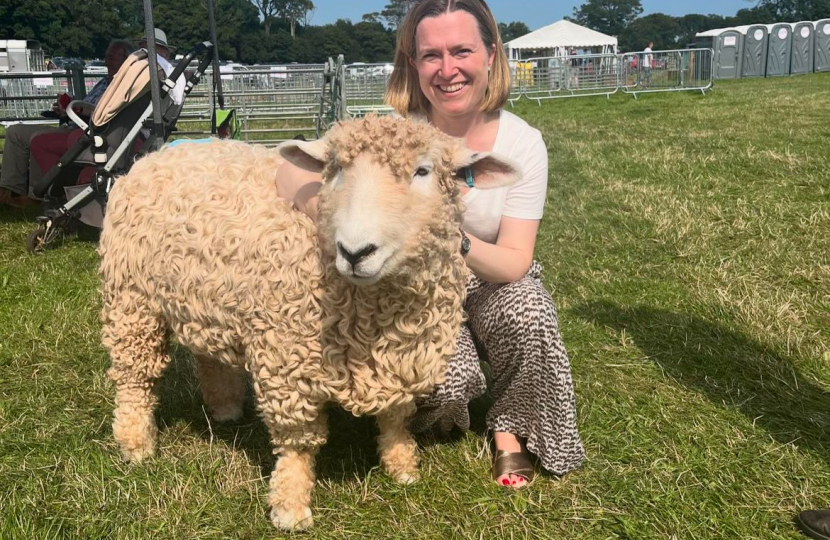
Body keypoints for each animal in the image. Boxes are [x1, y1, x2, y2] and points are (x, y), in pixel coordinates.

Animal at [99, 115, 520, 532]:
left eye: (423, 170)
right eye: (336, 170)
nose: (355, 252)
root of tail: (160, 153)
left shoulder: (404, 358)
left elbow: (396, 418)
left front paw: (402, 466)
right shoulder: (287, 363)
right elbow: (297, 444)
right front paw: (290, 505)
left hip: (207, 300)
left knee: (208, 356)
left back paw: (224, 407)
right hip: (132, 301)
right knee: (134, 377)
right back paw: (136, 444)